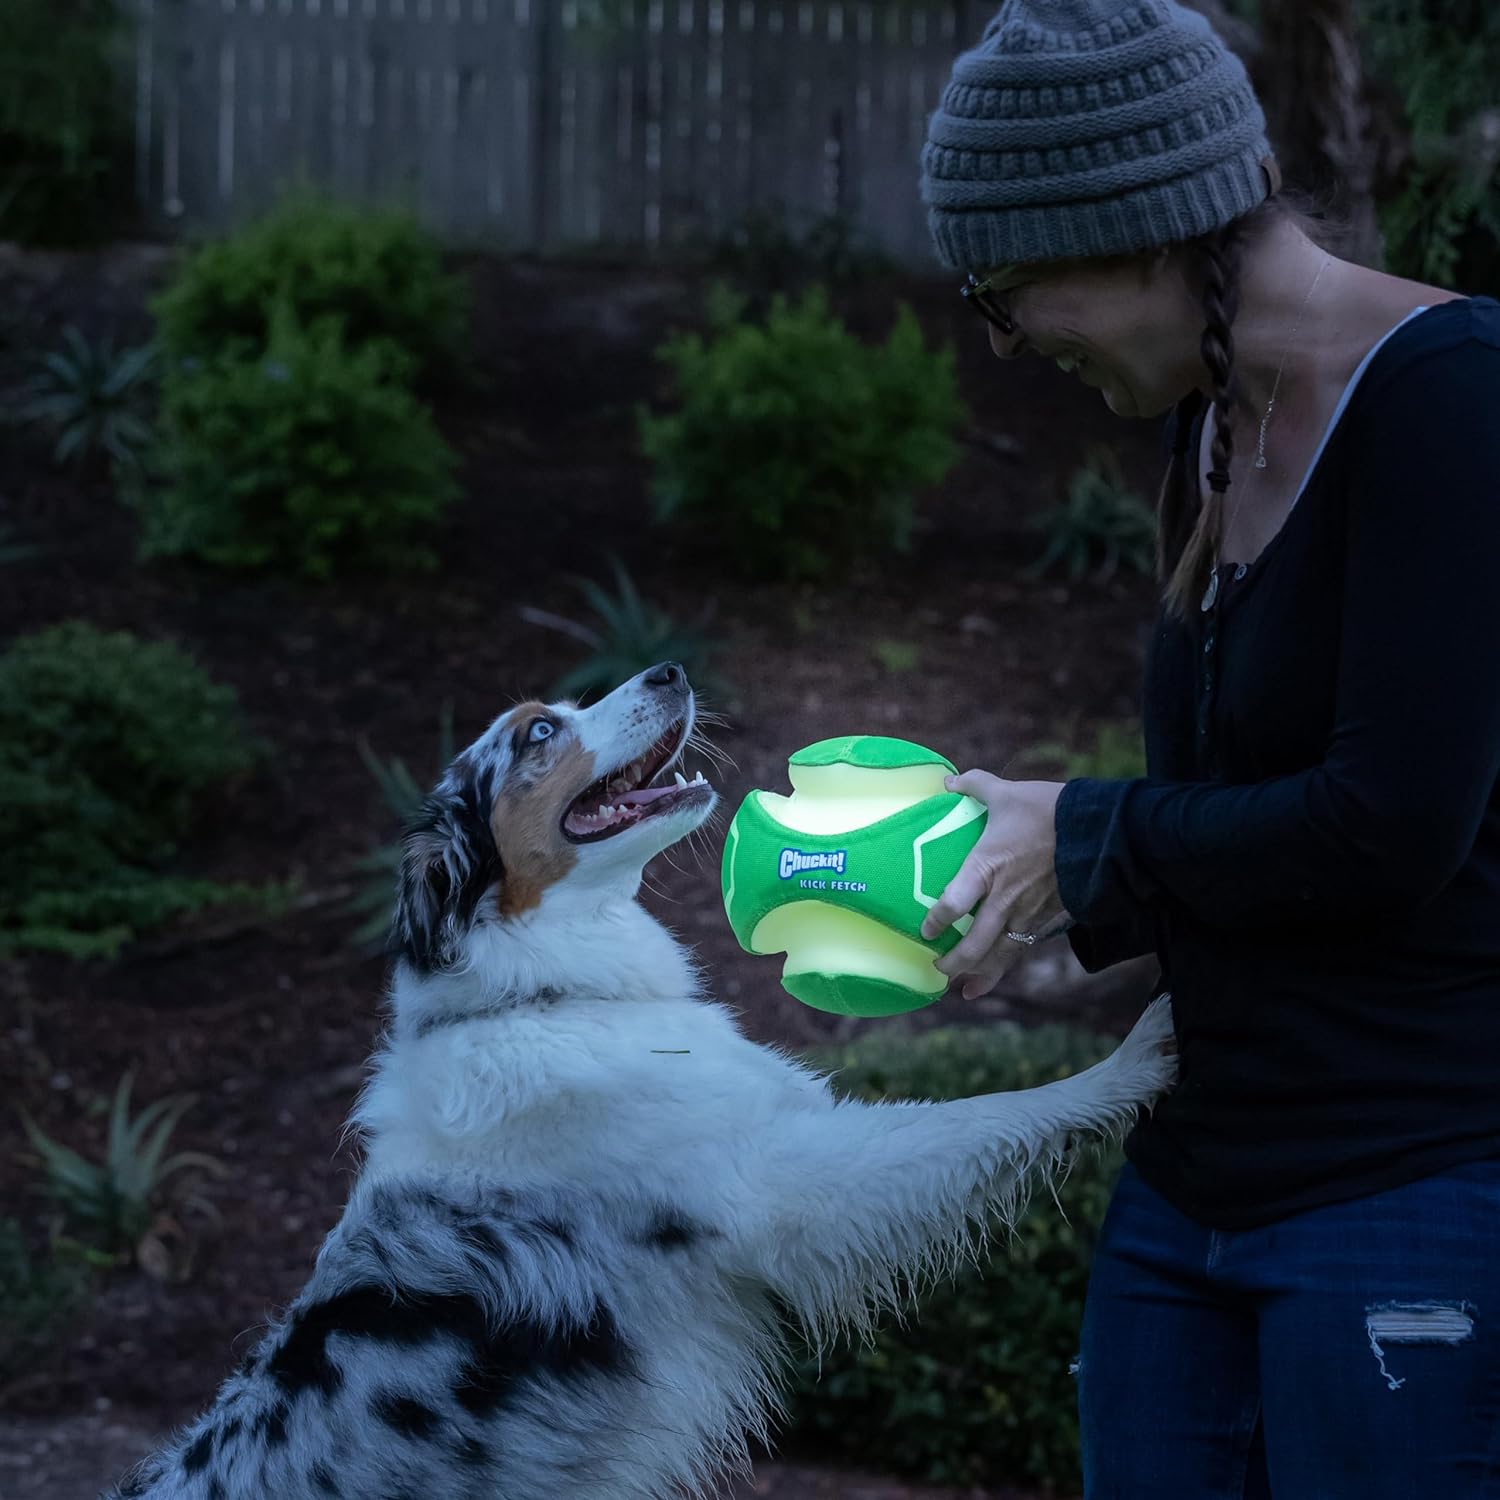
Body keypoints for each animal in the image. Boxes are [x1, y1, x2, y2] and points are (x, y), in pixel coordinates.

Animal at [105, 666, 1176, 1500]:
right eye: (538, 730)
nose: (668, 668)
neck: (548, 994)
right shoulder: (786, 1185)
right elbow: (985, 1116)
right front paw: (1136, 1053)